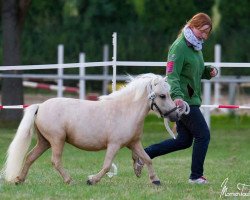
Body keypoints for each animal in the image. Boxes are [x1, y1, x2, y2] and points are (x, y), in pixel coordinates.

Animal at [2, 73, 179, 186]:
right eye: (162, 95)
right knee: (55, 161)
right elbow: (107, 165)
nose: (176, 114)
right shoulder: (114, 145)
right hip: (57, 140)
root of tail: (40, 106)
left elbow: (148, 158)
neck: (126, 111)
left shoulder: (134, 143)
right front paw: (92, 180)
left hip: (44, 141)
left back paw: (19, 180)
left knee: (30, 157)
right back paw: (69, 180)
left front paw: (155, 180)